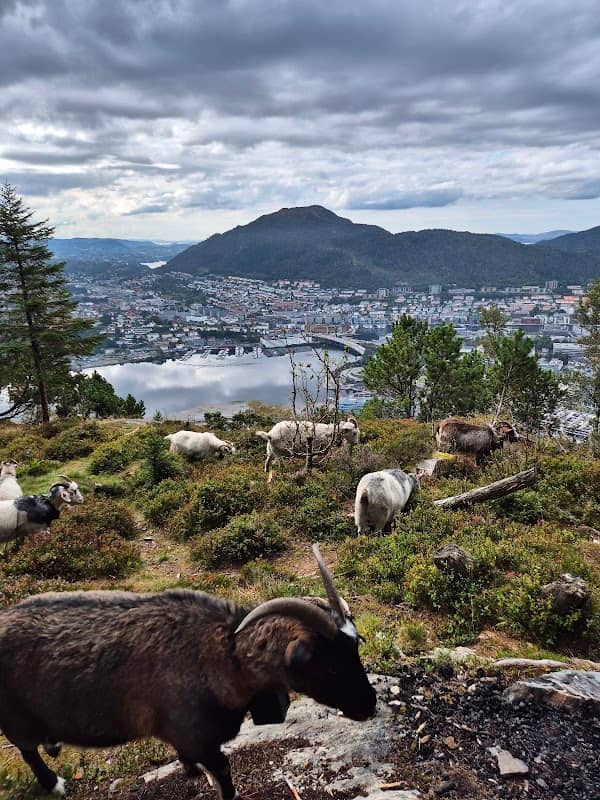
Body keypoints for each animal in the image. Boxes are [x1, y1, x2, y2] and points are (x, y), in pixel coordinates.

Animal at [0, 544, 376, 799]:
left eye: (355, 646)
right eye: (327, 664)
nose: (369, 705)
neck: (221, 656)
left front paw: (190, 770)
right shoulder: (198, 735)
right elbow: (223, 771)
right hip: (16, 718)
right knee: (27, 751)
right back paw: (54, 782)